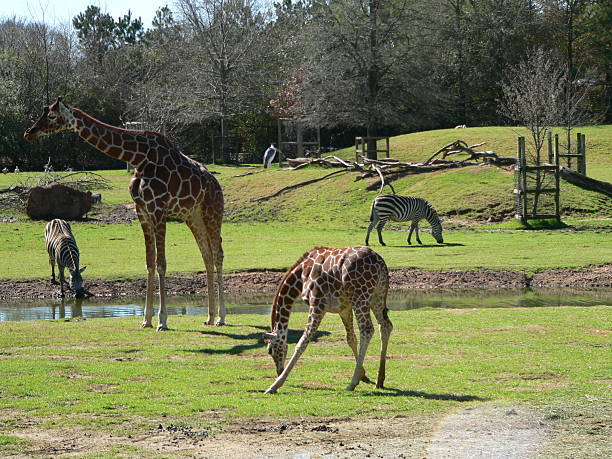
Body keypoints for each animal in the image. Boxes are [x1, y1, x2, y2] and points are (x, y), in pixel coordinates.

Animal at [24, 99, 225, 332]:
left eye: (52, 116)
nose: (29, 132)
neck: (137, 157)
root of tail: (217, 185)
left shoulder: (158, 210)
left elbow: (161, 264)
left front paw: (162, 321)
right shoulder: (142, 212)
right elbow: (149, 262)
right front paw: (146, 320)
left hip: (212, 213)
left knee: (218, 254)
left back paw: (221, 318)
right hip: (193, 217)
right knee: (207, 255)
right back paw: (210, 317)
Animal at [262, 246, 392, 394]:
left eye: (270, 350)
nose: (279, 370)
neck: (301, 276)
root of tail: (380, 263)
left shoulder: (317, 304)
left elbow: (303, 342)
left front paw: (275, 385)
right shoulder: (344, 308)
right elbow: (350, 339)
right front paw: (363, 374)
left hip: (360, 297)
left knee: (367, 330)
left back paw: (351, 384)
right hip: (377, 295)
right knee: (386, 325)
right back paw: (380, 380)